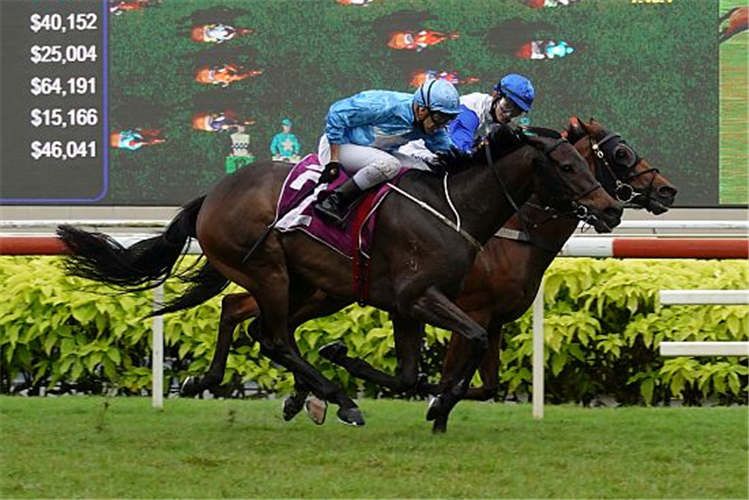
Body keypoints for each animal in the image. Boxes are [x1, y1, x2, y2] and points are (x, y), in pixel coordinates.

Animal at [57, 123, 620, 432]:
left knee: (247, 318)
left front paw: (424, 396)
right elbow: (467, 349)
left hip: (313, 285)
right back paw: (337, 400)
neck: (456, 207)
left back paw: (227, 382)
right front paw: (434, 404)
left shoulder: (407, 306)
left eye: (588, 163)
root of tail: (213, 194)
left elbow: (414, 375)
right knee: (275, 337)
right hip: (270, 271)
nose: (611, 209)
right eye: (568, 166)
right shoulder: (426, 298)